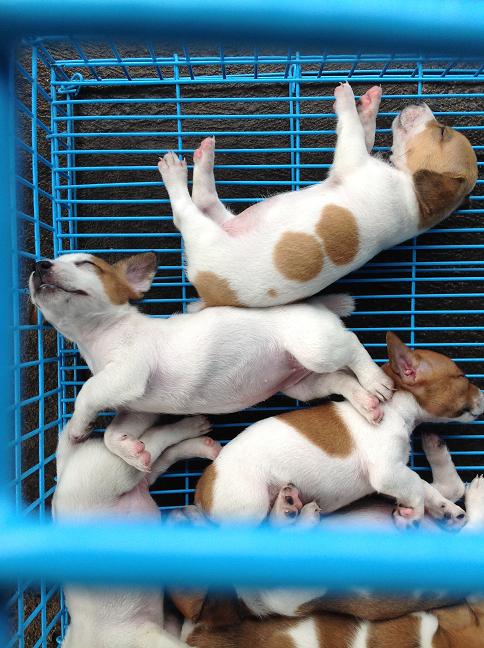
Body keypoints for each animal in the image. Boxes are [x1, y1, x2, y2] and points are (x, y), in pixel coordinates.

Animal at [29, 259, 393, 468]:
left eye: (87, 264)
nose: (38, 264)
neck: (95, 338)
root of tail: (316, 304)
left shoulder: (129, 372)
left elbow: (88, 392)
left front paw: (78, 427)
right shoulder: (138, 409)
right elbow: (112, 435)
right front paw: (132, 451)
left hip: (316, 348)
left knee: (353, 346)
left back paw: (376, 381)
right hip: (302, 383)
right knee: (340, 380)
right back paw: (366, 403)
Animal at [53, 413, 220, 648]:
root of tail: (64, 470)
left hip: (113, 471)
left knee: (155, 437)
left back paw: (190, 428)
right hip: (139, 477)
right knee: (163, 456)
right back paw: (205, 445)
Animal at [158, 83, 477, 309]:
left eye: (442, 132)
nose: (419, 101)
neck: (414, 196)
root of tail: (206, 291)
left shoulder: (352, 159)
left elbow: (350, 128)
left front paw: (346, 99)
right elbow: (364, 132)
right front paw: (368, 106)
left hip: (204, 234)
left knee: (186, 210)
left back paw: (174, 171)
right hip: (226, 220)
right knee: (205, 200)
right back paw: (205, 157)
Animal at [196, 332, 483, 531]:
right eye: (463, 378)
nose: (482, 393)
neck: (395, 409)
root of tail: (200, 490)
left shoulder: (398, 472)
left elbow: (423, 485)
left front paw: (444, 508)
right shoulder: (388, 472)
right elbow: (415, 484)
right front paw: (414, 514)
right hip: (250, 506)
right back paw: (292, 511)